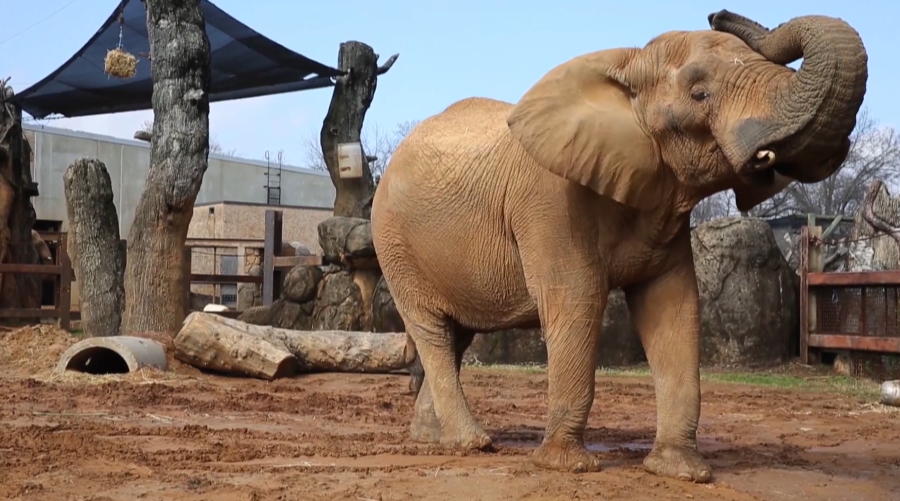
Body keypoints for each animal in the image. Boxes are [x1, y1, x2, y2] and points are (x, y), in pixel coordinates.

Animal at [370, 10, 867, 483]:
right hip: (394, 245)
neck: (629, 64)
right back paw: (473, 444)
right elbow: (577, 299)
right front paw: (568, 467)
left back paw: (432, 437)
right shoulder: (550, 200)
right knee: (432, 330)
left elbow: (673, 306)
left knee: (455, 334)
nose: (715, 14)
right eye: (699, 94)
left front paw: (681, 472)